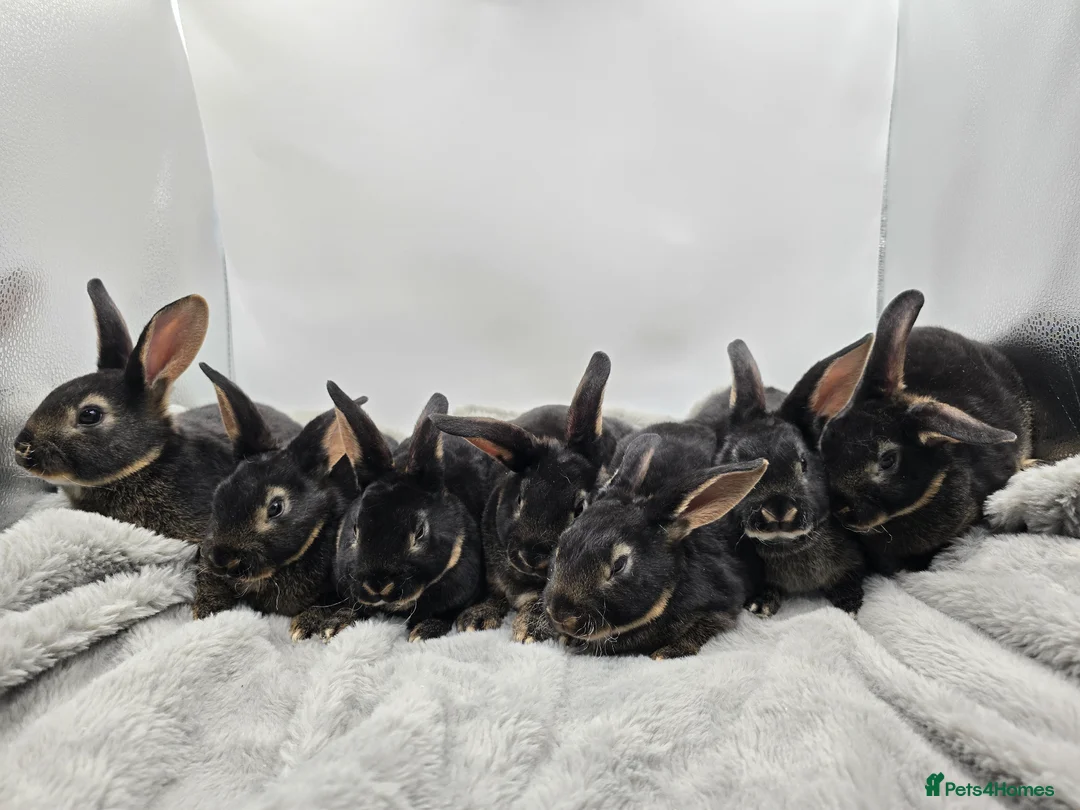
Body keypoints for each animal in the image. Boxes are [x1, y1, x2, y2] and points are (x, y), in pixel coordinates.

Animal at [430, 351, 633, 643]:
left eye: (580, 507)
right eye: (520, 499)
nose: (533, 557)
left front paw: (530, 630)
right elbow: (495, 592)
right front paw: (476, 620)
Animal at [542, 431, 768, 659]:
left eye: (619, 565)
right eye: (562, 543)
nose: (560, 614)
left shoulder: (723, 604)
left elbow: (703, 628)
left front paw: (666, 653)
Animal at [716, 340, 866, 616]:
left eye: (803, 463)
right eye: (737, 464)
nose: (778, 509)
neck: (785, 544)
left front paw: (849, 603)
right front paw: (760, 604)